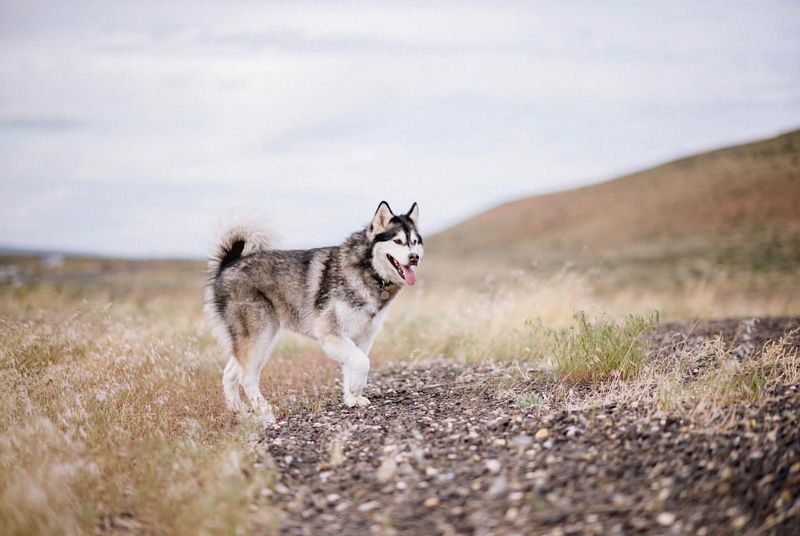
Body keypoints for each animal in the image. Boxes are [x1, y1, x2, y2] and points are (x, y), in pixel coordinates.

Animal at [203, 201, 422, 422]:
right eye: (397, 241)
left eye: (414, 241)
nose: (414, 257)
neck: (368, 270)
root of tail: (228, 263)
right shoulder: (330, 332)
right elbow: (362, 363)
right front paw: (355, 388)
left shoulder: (362, 337)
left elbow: (352, 365)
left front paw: (351, 398)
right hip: (259, 335)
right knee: (247, 377)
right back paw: (265, 412)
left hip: (259, 338)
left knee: (230, 373)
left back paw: (239, 412)